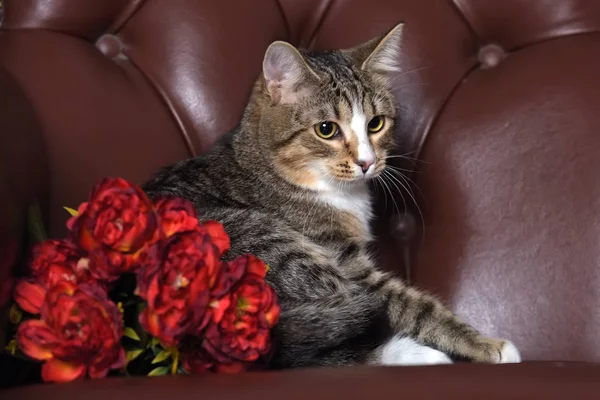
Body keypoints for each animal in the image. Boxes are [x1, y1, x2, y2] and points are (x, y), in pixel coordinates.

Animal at [142, 22, 520, 368]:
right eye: (326, 129)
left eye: (376, 123)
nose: (367, 162)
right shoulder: (345, 262)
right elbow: (411, 305)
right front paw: (488, 345)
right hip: (269, 245)